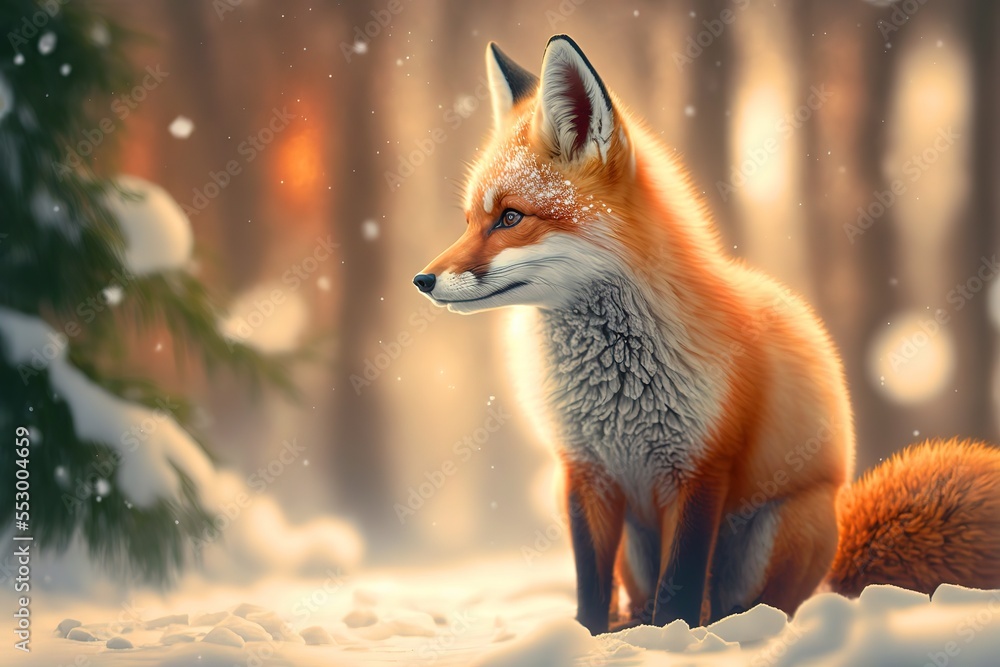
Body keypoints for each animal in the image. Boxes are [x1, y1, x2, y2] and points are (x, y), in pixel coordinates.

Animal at [412, 35, 1000, 634]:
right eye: (468, 221)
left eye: (510, 218)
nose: (422, 280)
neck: (616, 392)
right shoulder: (583, 473)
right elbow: (590, 589)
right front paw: (591, 638)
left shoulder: (701, 469)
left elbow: (682, 583)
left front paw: (672, 641)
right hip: (623, 536)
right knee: (644, 600)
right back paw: (633, 624)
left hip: (791, 522)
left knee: (736, 605)